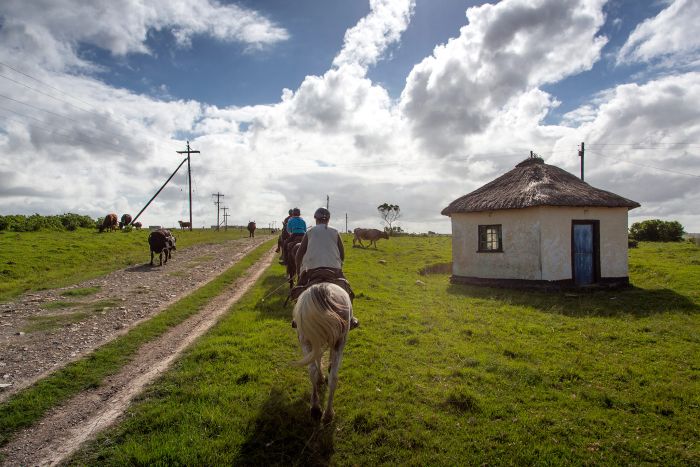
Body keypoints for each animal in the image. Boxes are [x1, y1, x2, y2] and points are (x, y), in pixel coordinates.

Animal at [292, 282, 352, 424]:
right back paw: (326, 412)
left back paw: (316, 407)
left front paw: (321, 377)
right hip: (339, 341)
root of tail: (321, 289)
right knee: (332, 376)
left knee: (314, 370)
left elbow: (318, 359)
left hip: (307, 340)